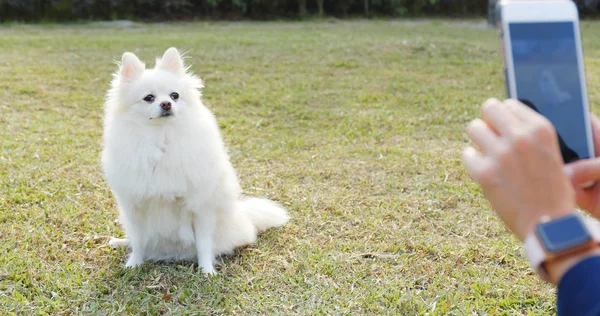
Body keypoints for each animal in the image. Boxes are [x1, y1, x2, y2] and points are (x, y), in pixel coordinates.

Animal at [102, 47, 290, 274]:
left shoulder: (201, 206)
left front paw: (207, 271)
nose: (166, 103)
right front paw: (133, 264)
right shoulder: (135, 206)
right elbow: (138, 240)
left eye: (175, 95)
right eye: (149, 98)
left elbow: (203, 243)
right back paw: (120, 242)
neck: (161, 138)